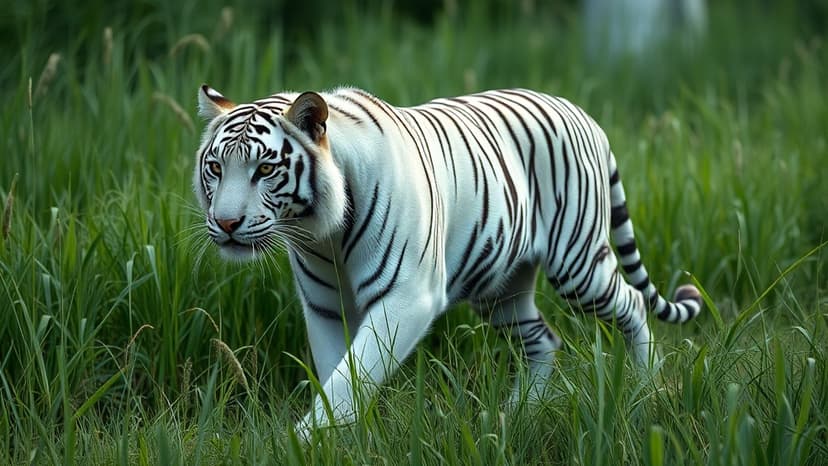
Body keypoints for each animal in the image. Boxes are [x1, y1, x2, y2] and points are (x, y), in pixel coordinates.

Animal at [193, 84, 702, 438]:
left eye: (265, 169)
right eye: (216, 167)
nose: (227, 222)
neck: (323, 235)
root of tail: (583, 114)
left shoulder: (406, 298)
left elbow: (352, 376)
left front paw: (304, 440)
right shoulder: (324, 306)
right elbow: (337, 372)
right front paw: (339, 439)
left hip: (578, 265)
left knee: (631, 303)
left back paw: (645, 386)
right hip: (500, 288)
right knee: (543, 339)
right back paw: (518, 413)